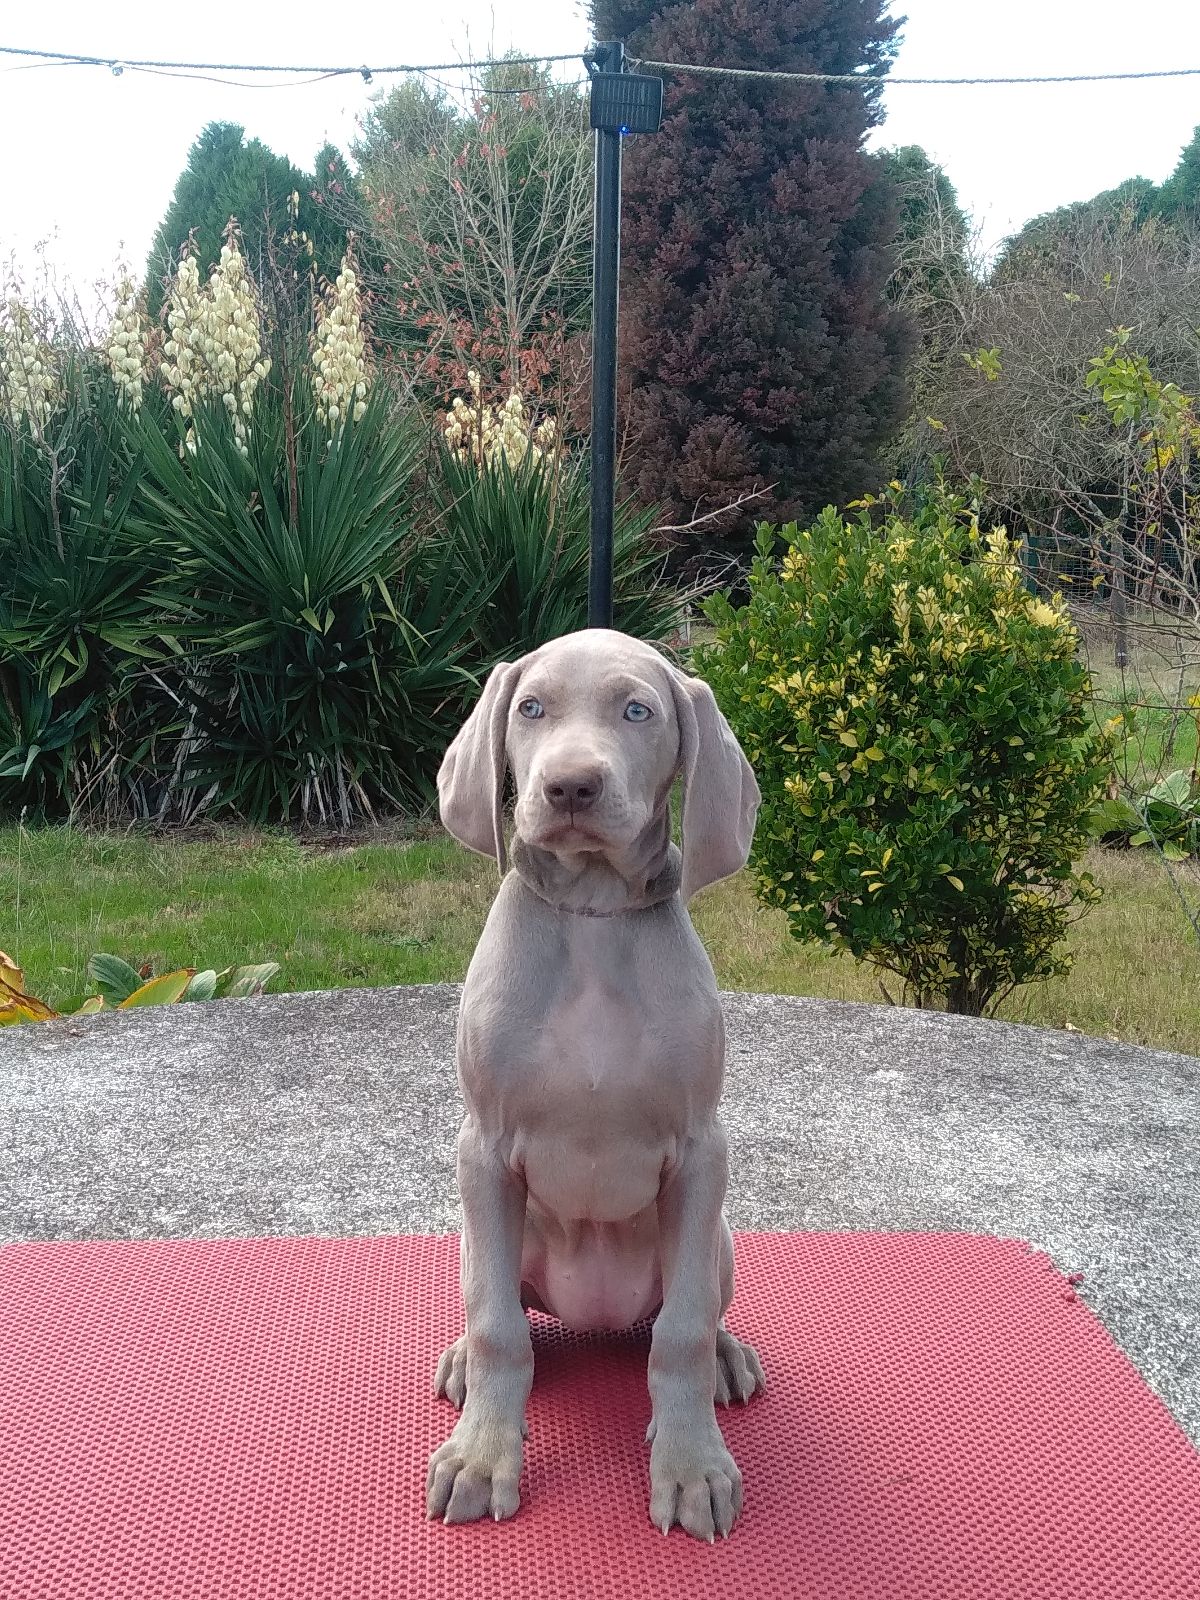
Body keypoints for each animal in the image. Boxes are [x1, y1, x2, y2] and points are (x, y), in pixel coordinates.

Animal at [428, 627, 764, 1541]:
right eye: (531, 707)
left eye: (637, 710)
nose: (570, 786)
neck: (591, 913)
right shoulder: (483, 1148)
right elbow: (500, 1328)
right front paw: (483, 1456)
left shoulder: (702, 1151)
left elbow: (680, 1334)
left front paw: (691, 1465)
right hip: (481, 1235)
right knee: (495, 1308)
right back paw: (463, 1362)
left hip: (717, 1240)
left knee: (690, 1314)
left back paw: (728, 1357)